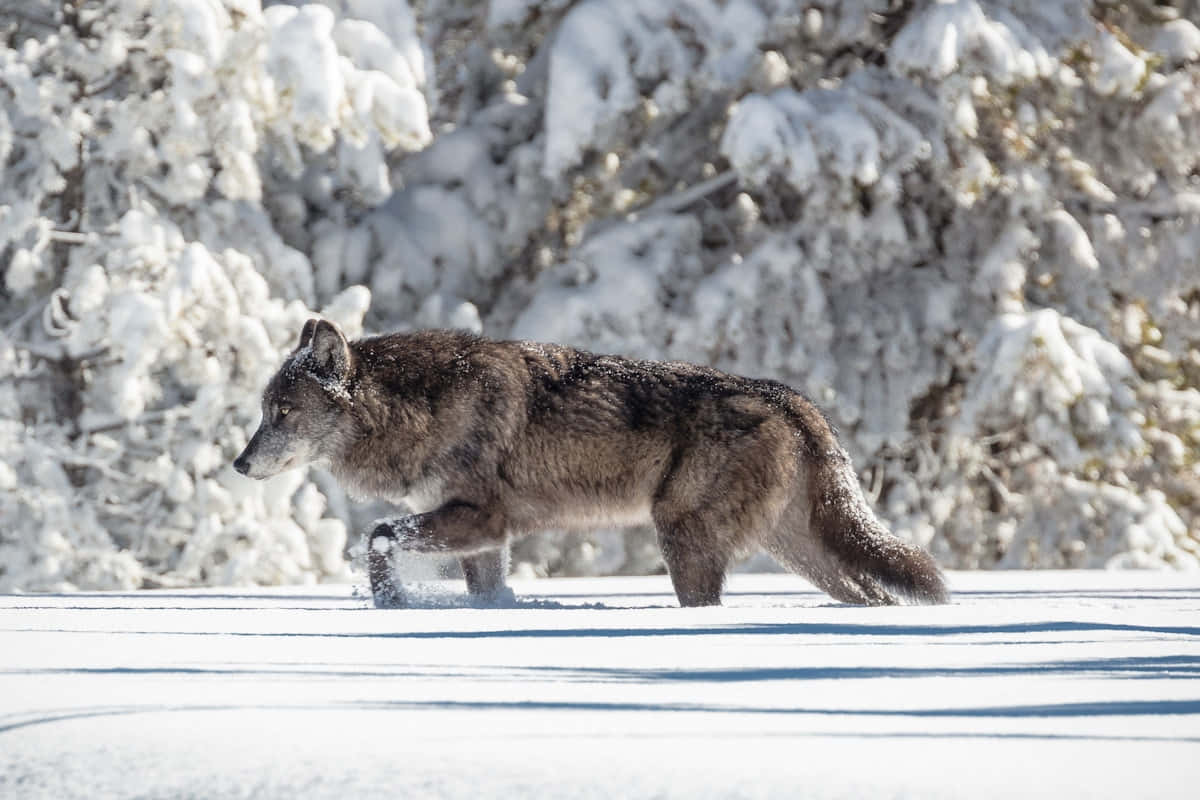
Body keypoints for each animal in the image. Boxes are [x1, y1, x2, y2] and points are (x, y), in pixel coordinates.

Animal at [231, 319, 945, 606]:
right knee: (874, 593)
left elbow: (377, 537)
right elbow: (481, 589)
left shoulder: (480, 519)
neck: (419, 407)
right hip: (800, 552)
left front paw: (392, 605)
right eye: (263, 411)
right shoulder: (485, 538)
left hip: (683, 538)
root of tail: (788, 397)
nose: (238, 465)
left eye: (283, 413)